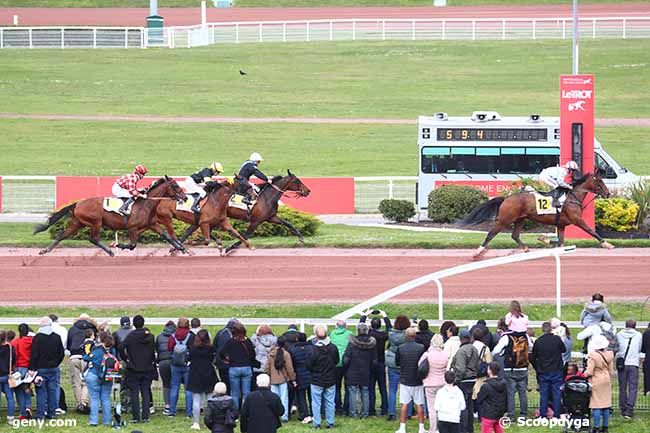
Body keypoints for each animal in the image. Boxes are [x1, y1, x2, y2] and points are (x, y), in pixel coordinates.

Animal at [33, 176, 185, 256]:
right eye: (176, 186)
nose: (184, 197)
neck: (146, 203)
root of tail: (78, 203)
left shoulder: (152, 224)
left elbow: (166, 235)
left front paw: (181, 248)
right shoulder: (132, 227)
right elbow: (133, 244)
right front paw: (118, 245)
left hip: (77, 223)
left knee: (62, 235)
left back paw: (45, 250)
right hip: (95, 222)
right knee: (93, 238)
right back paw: (110, 251)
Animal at [456, 171, 612, 258]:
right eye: (599, 181)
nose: (608, 194)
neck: (572, 197)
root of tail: (506, 198)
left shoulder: (561, 224)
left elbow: (560, 241)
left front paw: (545, 240)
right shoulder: (577, 220)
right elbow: (591, 231)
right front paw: (607, 244)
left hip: (520, 219)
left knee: (515, 235)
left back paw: (525, 248)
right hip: (505, 220)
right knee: (491, 233)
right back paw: (477, 252)